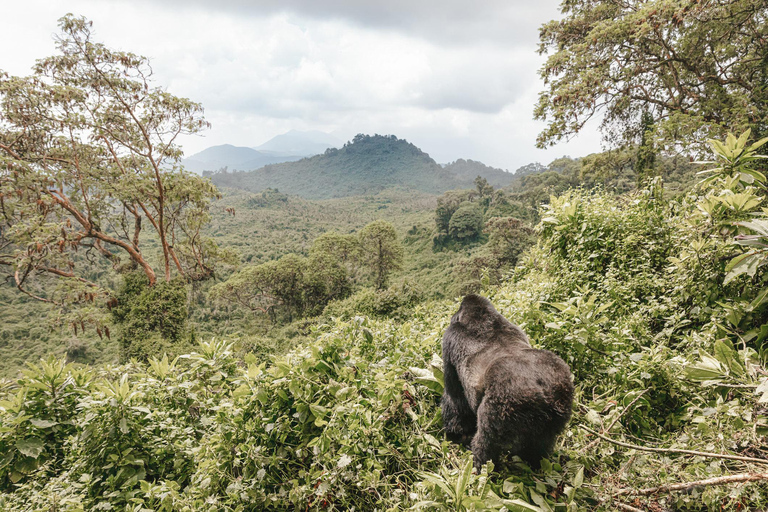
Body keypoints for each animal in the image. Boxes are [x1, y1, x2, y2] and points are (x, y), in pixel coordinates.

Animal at [441, 294, 573, 471]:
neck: (481, 318)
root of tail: (543, 391)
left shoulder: (449, 339)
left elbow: (454, 398)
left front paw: (457, 434)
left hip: (504, 403)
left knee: (486, 442)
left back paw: (482, 467)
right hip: (561, 399)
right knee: (542, 442)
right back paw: (533, 462)